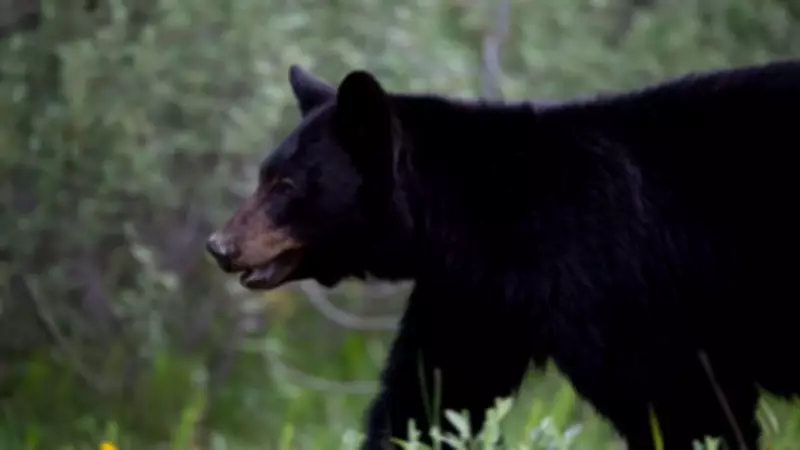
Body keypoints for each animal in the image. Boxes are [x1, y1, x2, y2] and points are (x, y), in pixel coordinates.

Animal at [206, 60, 800, 450]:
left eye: (285, 185)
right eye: (263, 175)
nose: (219, 246)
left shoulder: (615, 278)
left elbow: (679, 400)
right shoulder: (478, 295)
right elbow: (432, 396)